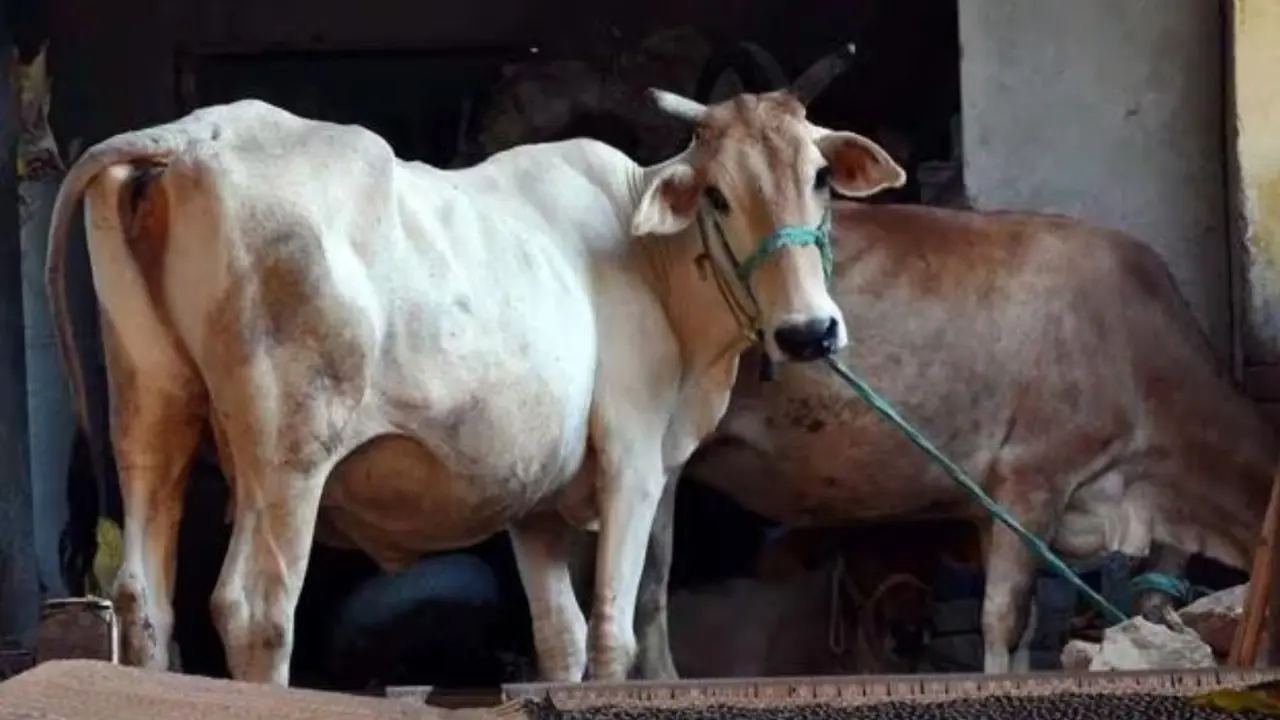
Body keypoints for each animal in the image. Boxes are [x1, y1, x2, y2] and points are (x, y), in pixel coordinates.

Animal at [44, 44, 901, 685]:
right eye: (718, 194)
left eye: (820, 177)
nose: (809, 332)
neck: (649, 258)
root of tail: (193, 136)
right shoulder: (632, 460)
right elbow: (613, 635)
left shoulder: (536, 503)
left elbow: (559, 639)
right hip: (288, 454)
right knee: (257, 609)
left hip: (151, 412)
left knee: (143, 600)